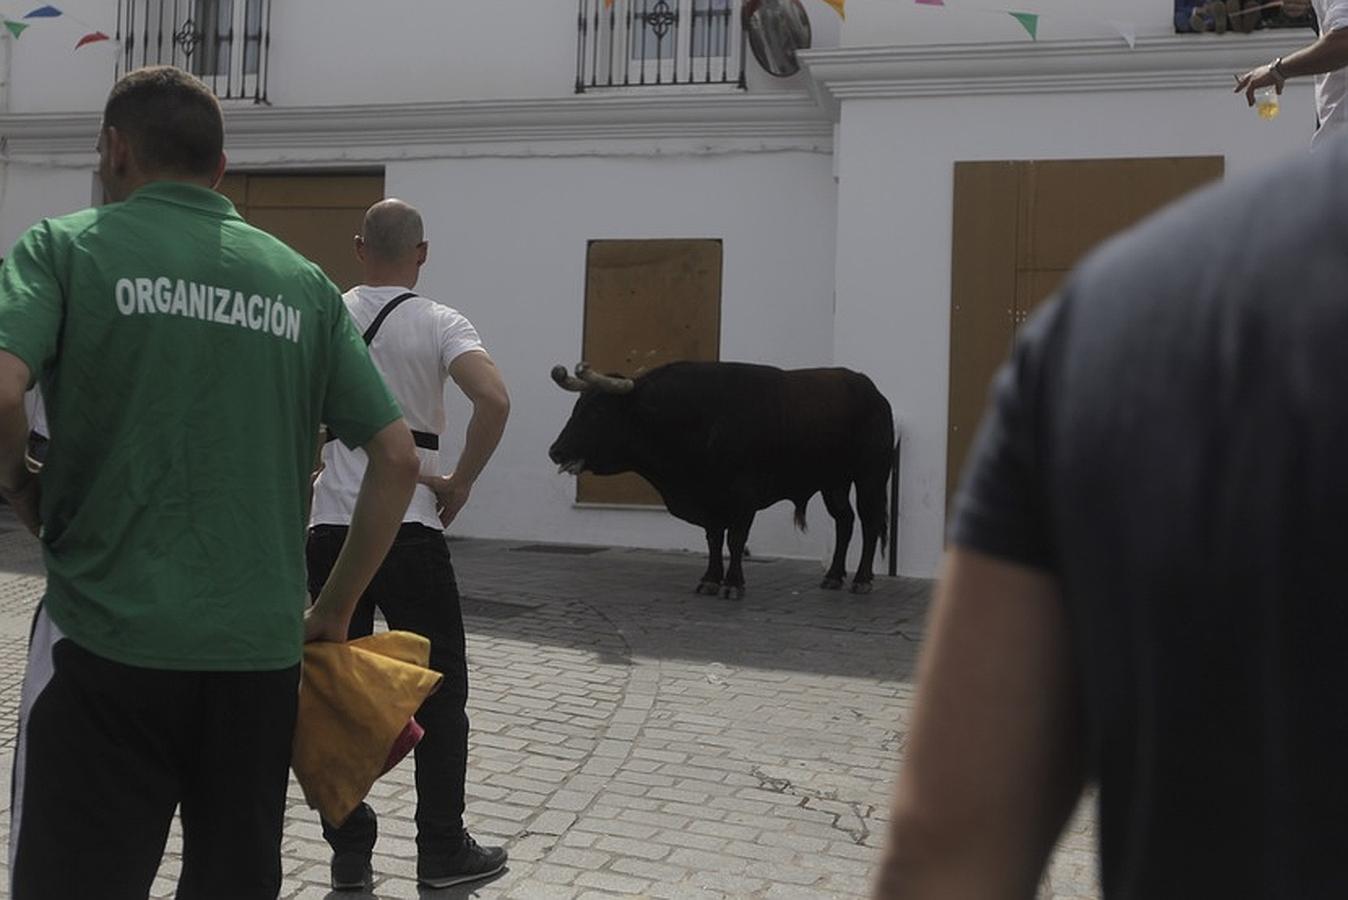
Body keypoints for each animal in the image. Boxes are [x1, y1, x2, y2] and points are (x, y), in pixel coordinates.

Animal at [547, 358, 895, 598]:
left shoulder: (744, 495)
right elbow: (714, 539)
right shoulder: (709, 499)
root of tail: (871, 390)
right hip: (833, 482)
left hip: (871, 476)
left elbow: (736, 539)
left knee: (869, 521)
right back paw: (834, 576)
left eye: (597, 412)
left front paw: (733, 584)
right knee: (844, 520)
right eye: (577, 408)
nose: (556, 451)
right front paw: (710, 580)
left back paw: (862, 579)